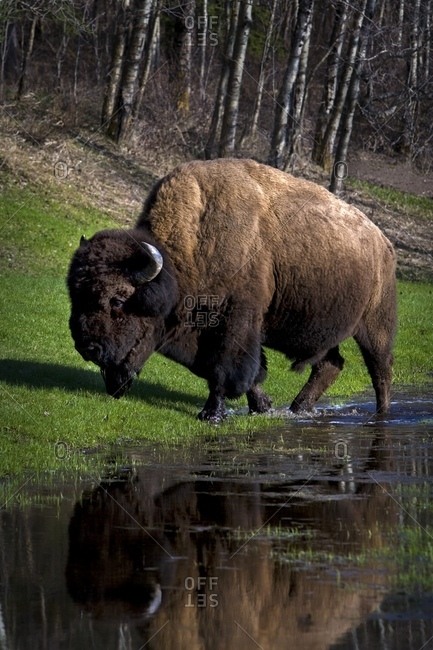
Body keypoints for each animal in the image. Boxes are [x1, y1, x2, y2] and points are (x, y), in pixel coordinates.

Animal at [67, 158, 397, 421]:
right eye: (75, 295)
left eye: (118, 299)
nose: (88, 347)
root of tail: (383, 242)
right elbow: (242, 372)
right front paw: (262, 406)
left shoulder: (235, 323)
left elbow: (224, 369)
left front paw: (211, 414)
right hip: (326, 331)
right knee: (331, 364)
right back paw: (298, 408)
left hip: (375, 327)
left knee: (380, 371)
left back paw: (380, 415)